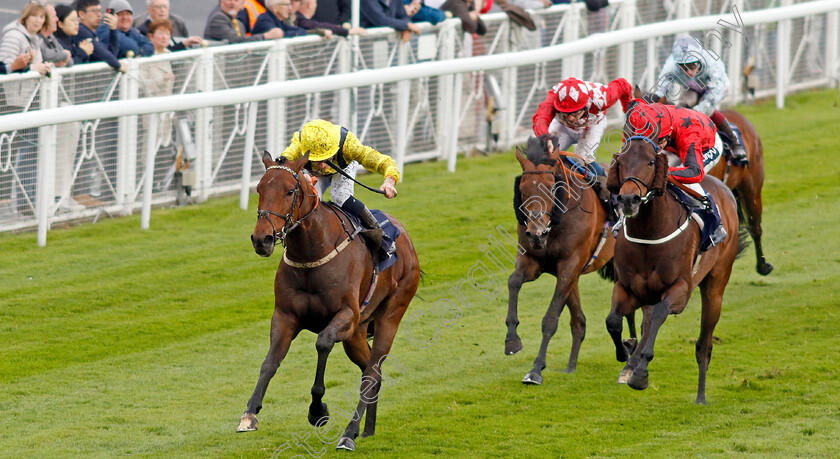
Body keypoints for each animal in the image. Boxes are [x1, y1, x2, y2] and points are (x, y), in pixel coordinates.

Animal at [236, 153, 420, 452]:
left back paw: (349, 433)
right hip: (357, 334)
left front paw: (318, 410)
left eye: (290, 191)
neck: (312, 252)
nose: (262, 239)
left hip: (390, 314)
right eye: (259, 189)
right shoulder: (285, 316)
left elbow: (322, 343)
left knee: (372, 373)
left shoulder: (346, 316)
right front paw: (250, 414)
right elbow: (270, 361)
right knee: (372, 372)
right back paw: (367, 430)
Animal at [506, 135, 632, 386]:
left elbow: (550, 319)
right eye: (522, 189)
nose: (536, 233)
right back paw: (575, 365)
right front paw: (512, 340)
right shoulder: (534, 261)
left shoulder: (570, 264)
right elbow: (513, 281)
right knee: (580, 321)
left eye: (549, 187)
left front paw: (535, 370)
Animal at [604, 128, 740, 402]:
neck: (650, 233)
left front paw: (641, 374)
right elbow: (613, 320)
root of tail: (724, 189)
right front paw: (625, 353)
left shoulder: (680, 289)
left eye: (651, 162)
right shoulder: (628, 288)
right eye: (620, 162)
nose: (628, 199)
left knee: (704, 345)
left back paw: (701, 396)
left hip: (716, 284)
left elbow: (658, 314)